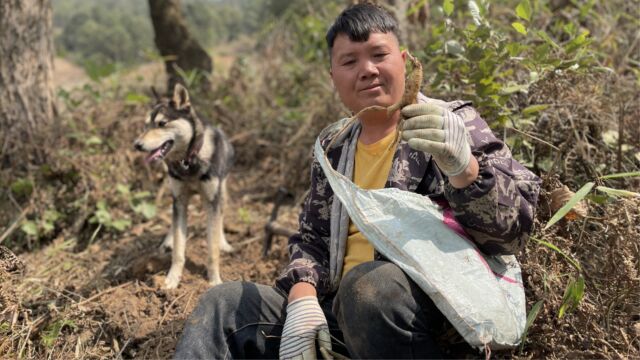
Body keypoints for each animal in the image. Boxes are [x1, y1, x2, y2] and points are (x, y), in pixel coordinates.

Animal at [134, 84, 234, 290]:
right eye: (146, 125)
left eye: (162, 123)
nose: (136, 145)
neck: (188, 161)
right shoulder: (179, 200)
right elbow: (179, 249)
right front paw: (173, 278)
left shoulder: (213, 200)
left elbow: (212, 250)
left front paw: (214, 279)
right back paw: (168, 241)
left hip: (221, 194)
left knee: (220, 217)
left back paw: (223, 242)